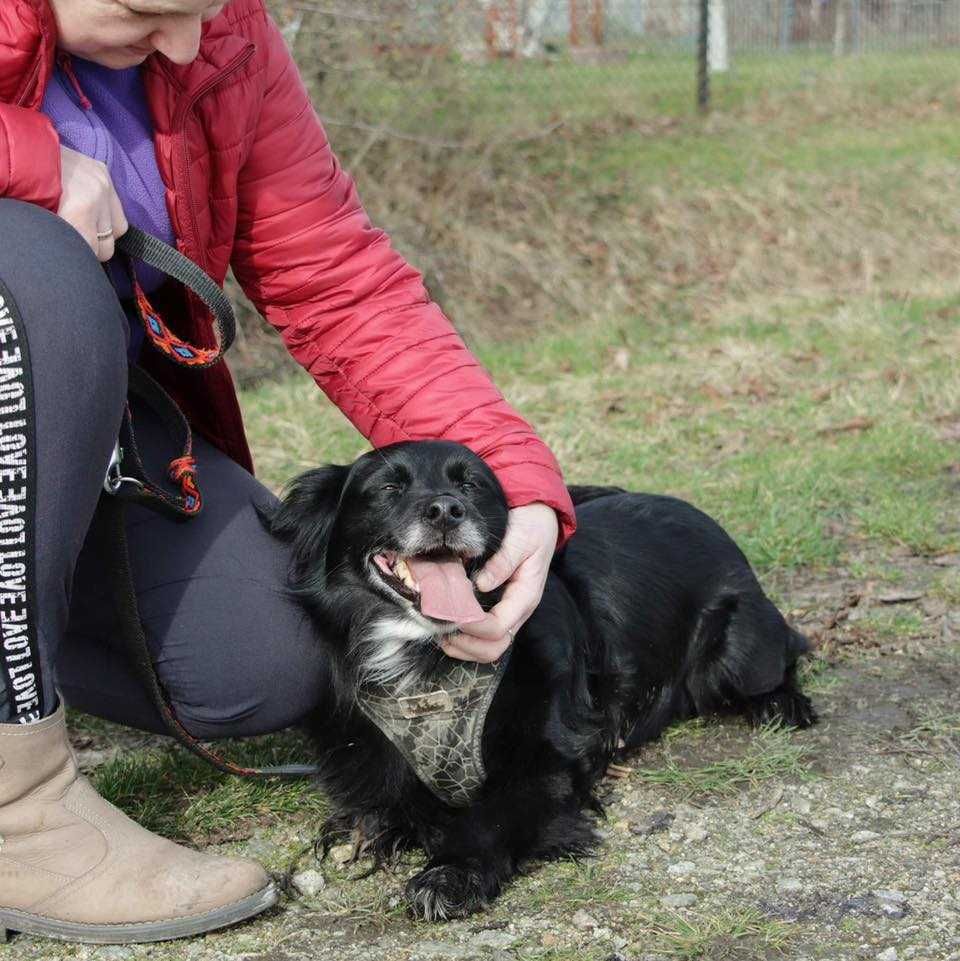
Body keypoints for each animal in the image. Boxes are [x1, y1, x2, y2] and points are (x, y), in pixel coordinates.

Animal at [264, 438, 816, 920]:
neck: (426, 654)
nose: (445, 510)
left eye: (472, 486)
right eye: (388, 488)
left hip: (740, 648)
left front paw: (451, 874)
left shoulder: (547, 762)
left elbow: (489, 818)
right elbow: (387, 799)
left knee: (785, 653)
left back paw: (780, 704)